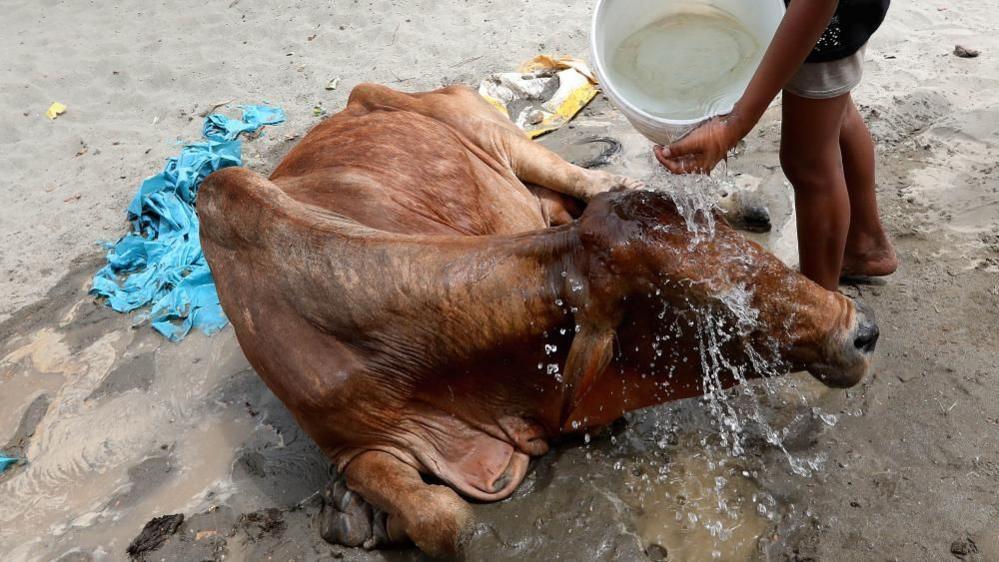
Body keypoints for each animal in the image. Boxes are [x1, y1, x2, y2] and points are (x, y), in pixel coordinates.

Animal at [199, 83, 880, 556]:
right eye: (704, 306)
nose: (861, 330)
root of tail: (352, 103)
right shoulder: (348, 442)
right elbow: (442, 518)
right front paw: (357, 510)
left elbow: (448, 522)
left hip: (499, 137)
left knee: (601, 179)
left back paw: (742, 201)